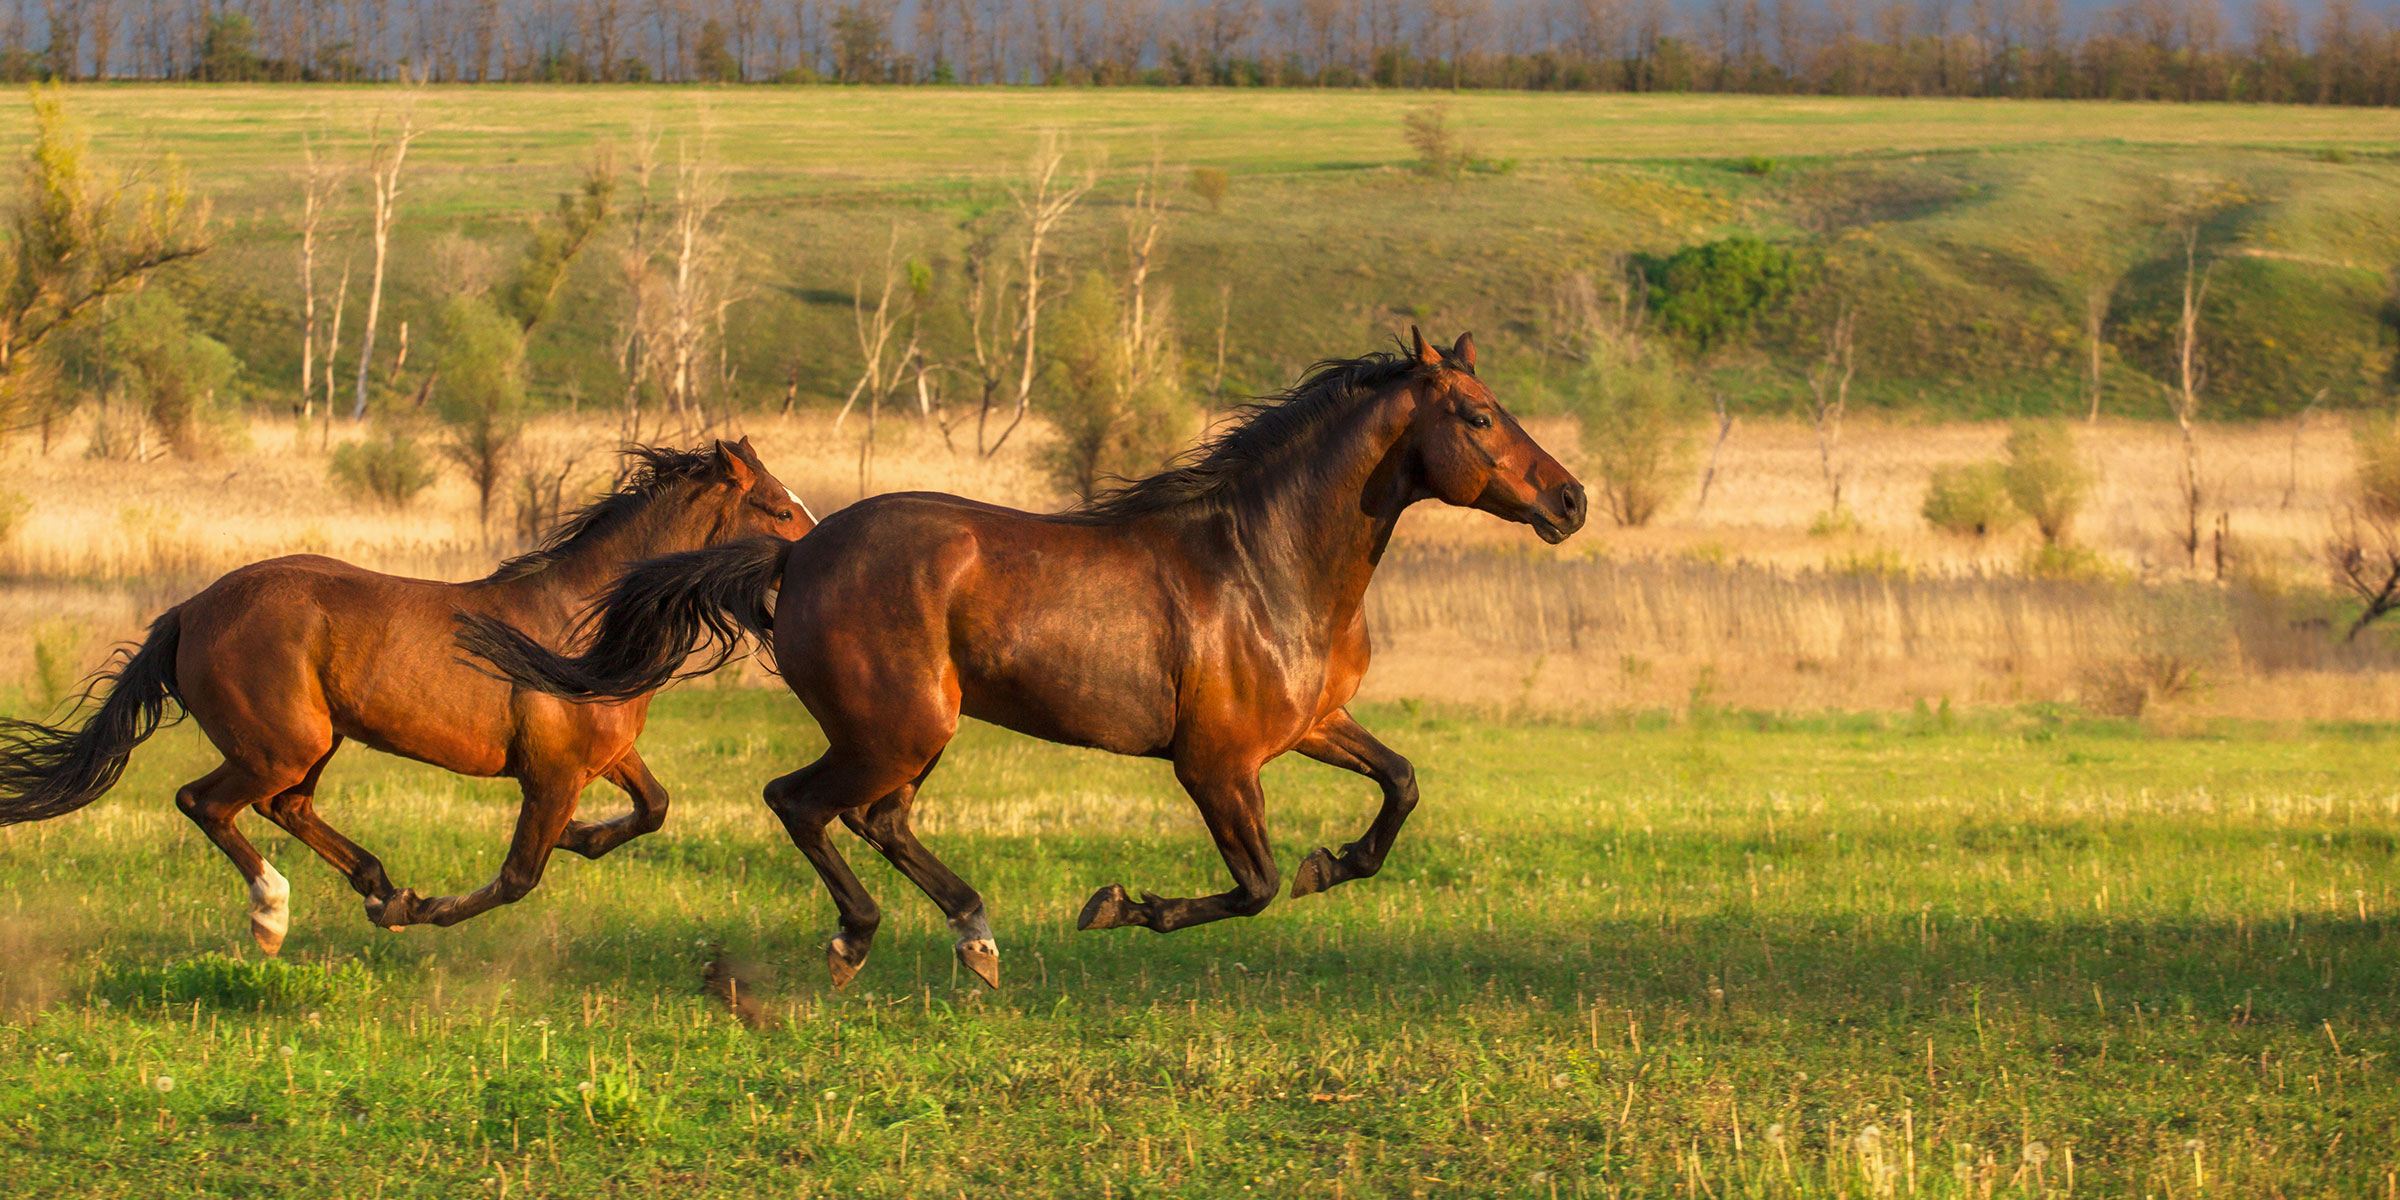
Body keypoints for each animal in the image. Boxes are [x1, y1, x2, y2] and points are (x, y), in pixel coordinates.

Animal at [0, 436, 816, 950]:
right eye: (778, 508)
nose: (813, 552)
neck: (578, 626)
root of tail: (189, 610)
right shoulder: (551, 775)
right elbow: (517, 877)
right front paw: (435, 906)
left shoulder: (606, 756)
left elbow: (653, 809)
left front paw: (579, 837)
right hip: (282, 743)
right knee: (206, 802)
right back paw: (276, 915)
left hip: (314, 742)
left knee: (285, 807)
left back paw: (379, 890)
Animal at [463, 333, 1593, 988]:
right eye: (1479, 416)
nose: (1572, 500)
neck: (1264, 566)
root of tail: (795, 551)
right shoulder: (1217, 764)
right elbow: (1258, 883)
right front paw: (1122, 906)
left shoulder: (1312, 727)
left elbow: (1399, 788)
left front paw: (1339, 862)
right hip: (897, 726)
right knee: (805, 803)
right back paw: (858, 939)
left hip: (915, 734)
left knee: (878, 819)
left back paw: (973, 936)